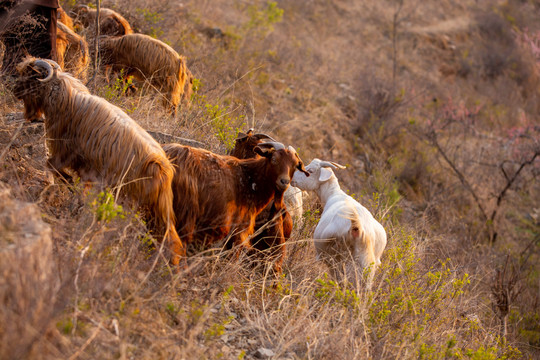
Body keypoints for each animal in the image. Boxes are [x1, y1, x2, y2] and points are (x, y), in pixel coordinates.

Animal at [14, 56, 186, 264]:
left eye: (31, 76)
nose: (14, 90)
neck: (65, 96)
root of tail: (165, 170)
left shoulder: (66, 154)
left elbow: (52, 166)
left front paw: (69, 185)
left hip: (136, 201)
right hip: (153, 208)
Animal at [162, 142, 308, 274]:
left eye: (295, 166)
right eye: (274, 159)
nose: (284, 182)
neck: (250, 179)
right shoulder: (237, 232)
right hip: (185, 215)